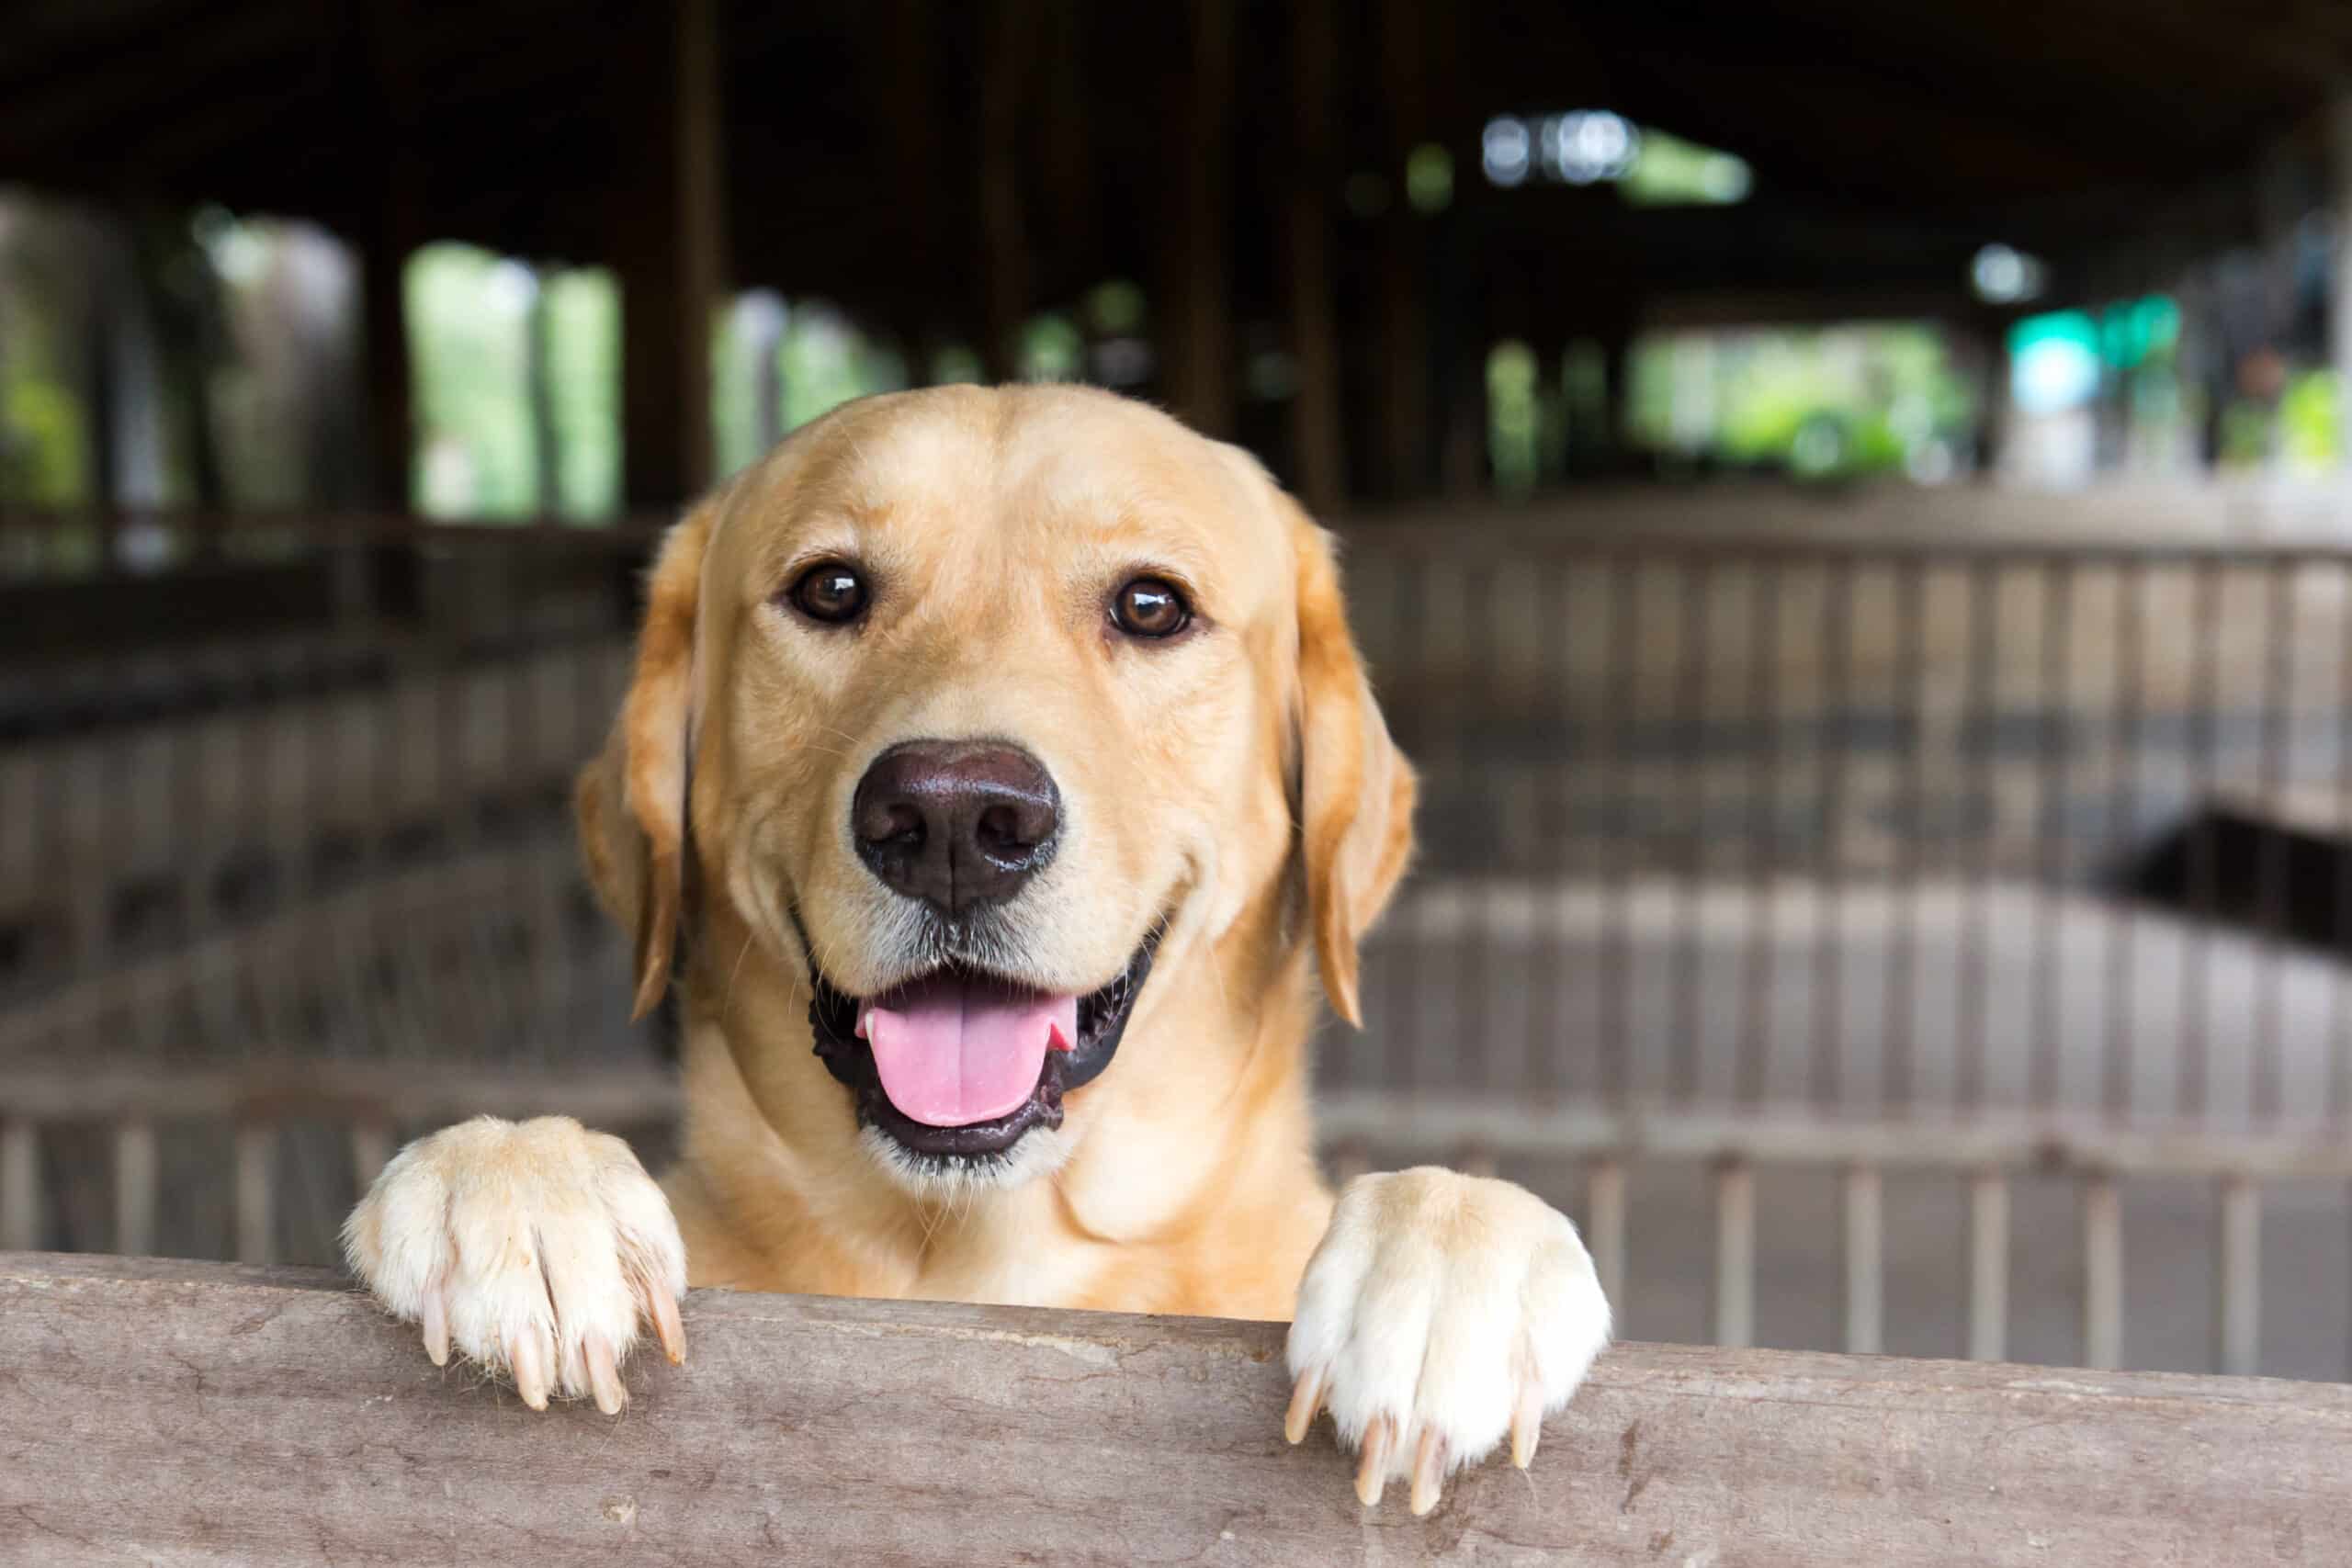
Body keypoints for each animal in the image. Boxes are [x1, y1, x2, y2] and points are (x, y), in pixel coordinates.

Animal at [341, 385, 1609, 1514]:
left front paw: (1445, 1271)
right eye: (830, 589)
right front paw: (515, 1186)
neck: (989, 1260)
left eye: (1152, 606)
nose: (953, 820)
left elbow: (1455, 1211)